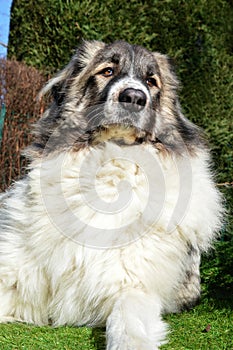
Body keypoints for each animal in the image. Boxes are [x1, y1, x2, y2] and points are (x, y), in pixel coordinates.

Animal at [0, 40, 223, 348]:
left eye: (151, 81)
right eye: (107, 71)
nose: (134, 96)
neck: (110, 166)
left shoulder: (132, 285)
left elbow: (127, 324)